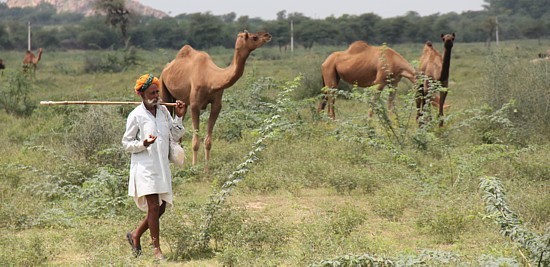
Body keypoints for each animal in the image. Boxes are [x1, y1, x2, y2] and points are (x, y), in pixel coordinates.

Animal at [160, 30, 272, 170]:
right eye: (254, 37)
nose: (268, 35)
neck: (211, 78)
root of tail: (166, 68)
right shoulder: (195, 105)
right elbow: (195, 141)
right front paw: (194, 167)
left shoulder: (217, 105)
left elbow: (208, 140)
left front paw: (206, 168)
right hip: (163, 87)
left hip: (182, 102)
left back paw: (180, 164)